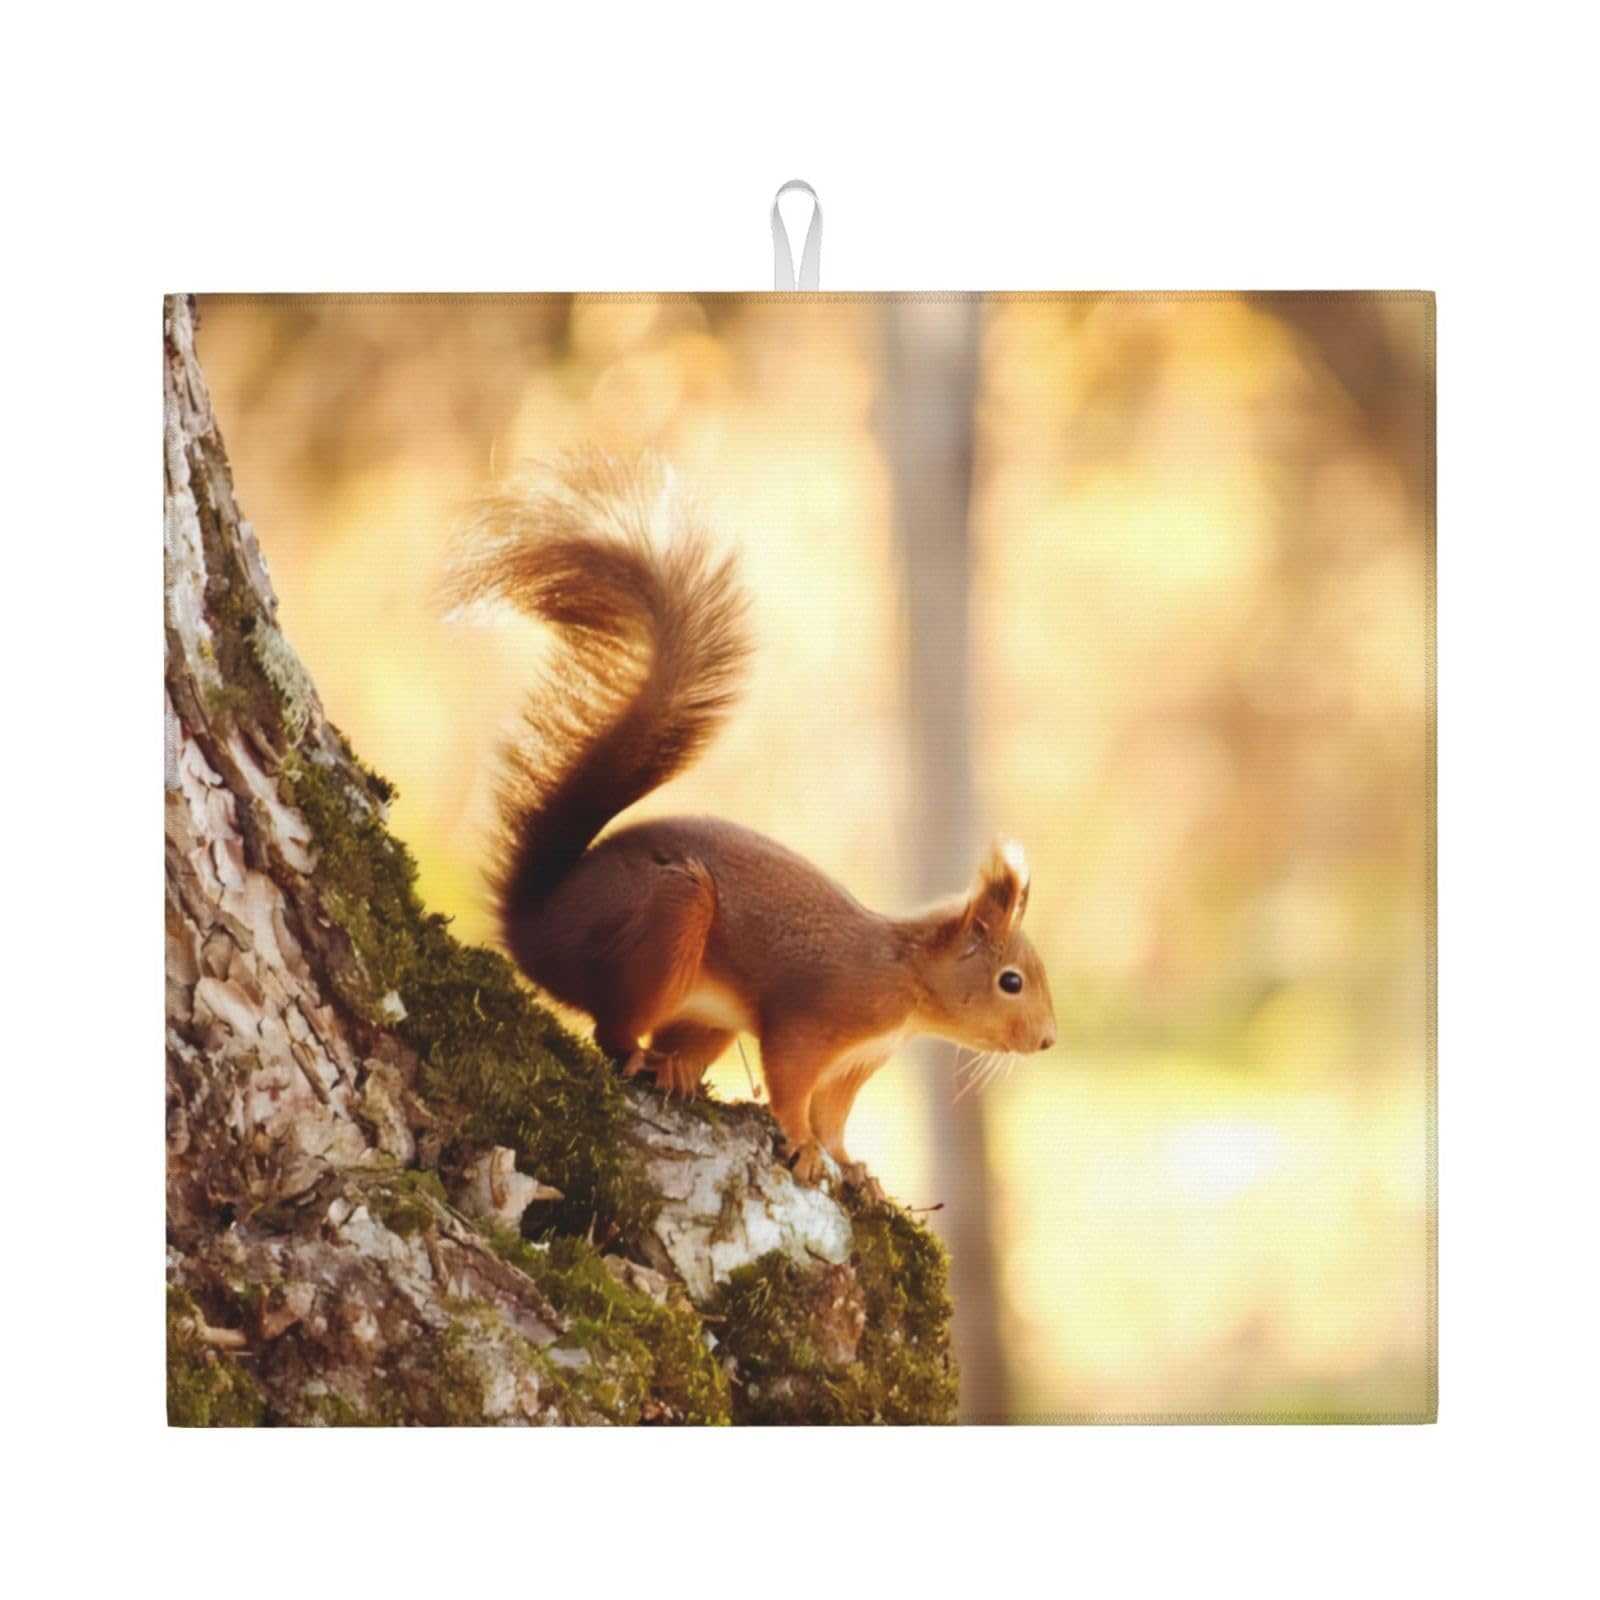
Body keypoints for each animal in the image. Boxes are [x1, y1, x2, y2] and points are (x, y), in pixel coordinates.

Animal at [448, 452, 1056, 1197]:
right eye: (1011, 981)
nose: (1047, 1040)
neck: (908, 984)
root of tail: (534, 927)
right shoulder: (819, 1018)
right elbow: (793, 1083)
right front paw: (803, 1147)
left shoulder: (858, 1061)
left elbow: (835, 1114)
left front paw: (854, 1167)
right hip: (666, 921)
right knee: (612, 1030)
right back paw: (642, 1059)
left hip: (705, 1008)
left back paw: (678, 1068)